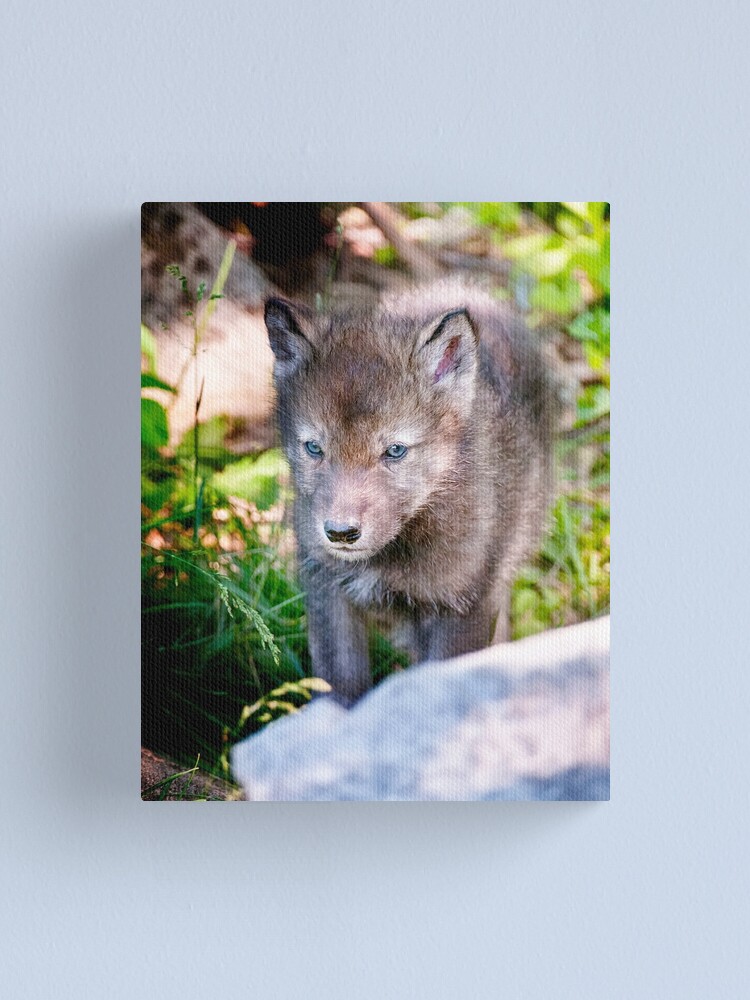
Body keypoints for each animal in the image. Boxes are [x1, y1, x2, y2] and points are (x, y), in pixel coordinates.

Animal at [264, 281, 558, 704]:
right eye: (314, 448)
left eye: (395, 451)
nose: (340, 533)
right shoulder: (325, 588)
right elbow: (340, 687)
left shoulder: (465, 605)